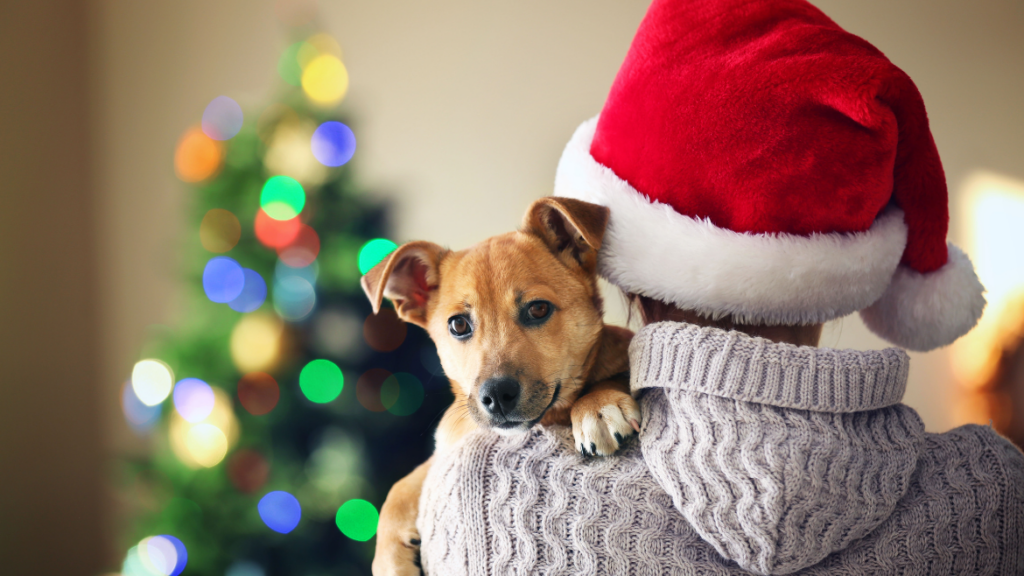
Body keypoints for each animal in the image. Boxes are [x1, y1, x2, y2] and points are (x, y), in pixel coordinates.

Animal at [360, 194, 638, 569]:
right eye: (458, 325)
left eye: (538, 309)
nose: (495, 396)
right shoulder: (449, 445)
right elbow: (401, 485)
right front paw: (389, 559)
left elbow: (619, 373)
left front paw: (599, 405)